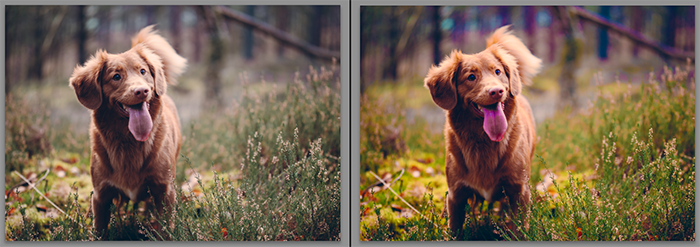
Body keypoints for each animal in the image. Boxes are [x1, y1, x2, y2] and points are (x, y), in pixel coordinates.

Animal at [69, 25, 186, 237]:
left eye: (143, 71)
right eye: (116, 76)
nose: (141, 91)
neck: (129, 141)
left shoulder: (164, 190)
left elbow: (165, 229)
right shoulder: (101, 194)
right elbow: (99, 230)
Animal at [422, 25, 540, 235]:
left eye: (498, 71)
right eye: (471, 77)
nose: (496, 91)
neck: (483, 141)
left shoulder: (519, 190)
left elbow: (520, 229)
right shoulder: (456, 195)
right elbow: (455, 231)